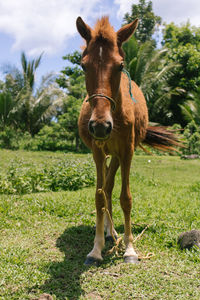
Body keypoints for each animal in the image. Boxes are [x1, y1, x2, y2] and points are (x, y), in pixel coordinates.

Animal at [76, 16, 179, 264]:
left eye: (120, 65)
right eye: (83, 65)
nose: (100, 126)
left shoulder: (127, 151)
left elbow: (126, 198)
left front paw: (130, 248)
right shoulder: (97, 151)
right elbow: (99, 197)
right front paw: (96, 249)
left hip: (117, 155)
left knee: (111, 186)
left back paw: (114, 234)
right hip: (107, 154)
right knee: (106, 189)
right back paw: (108, 232)